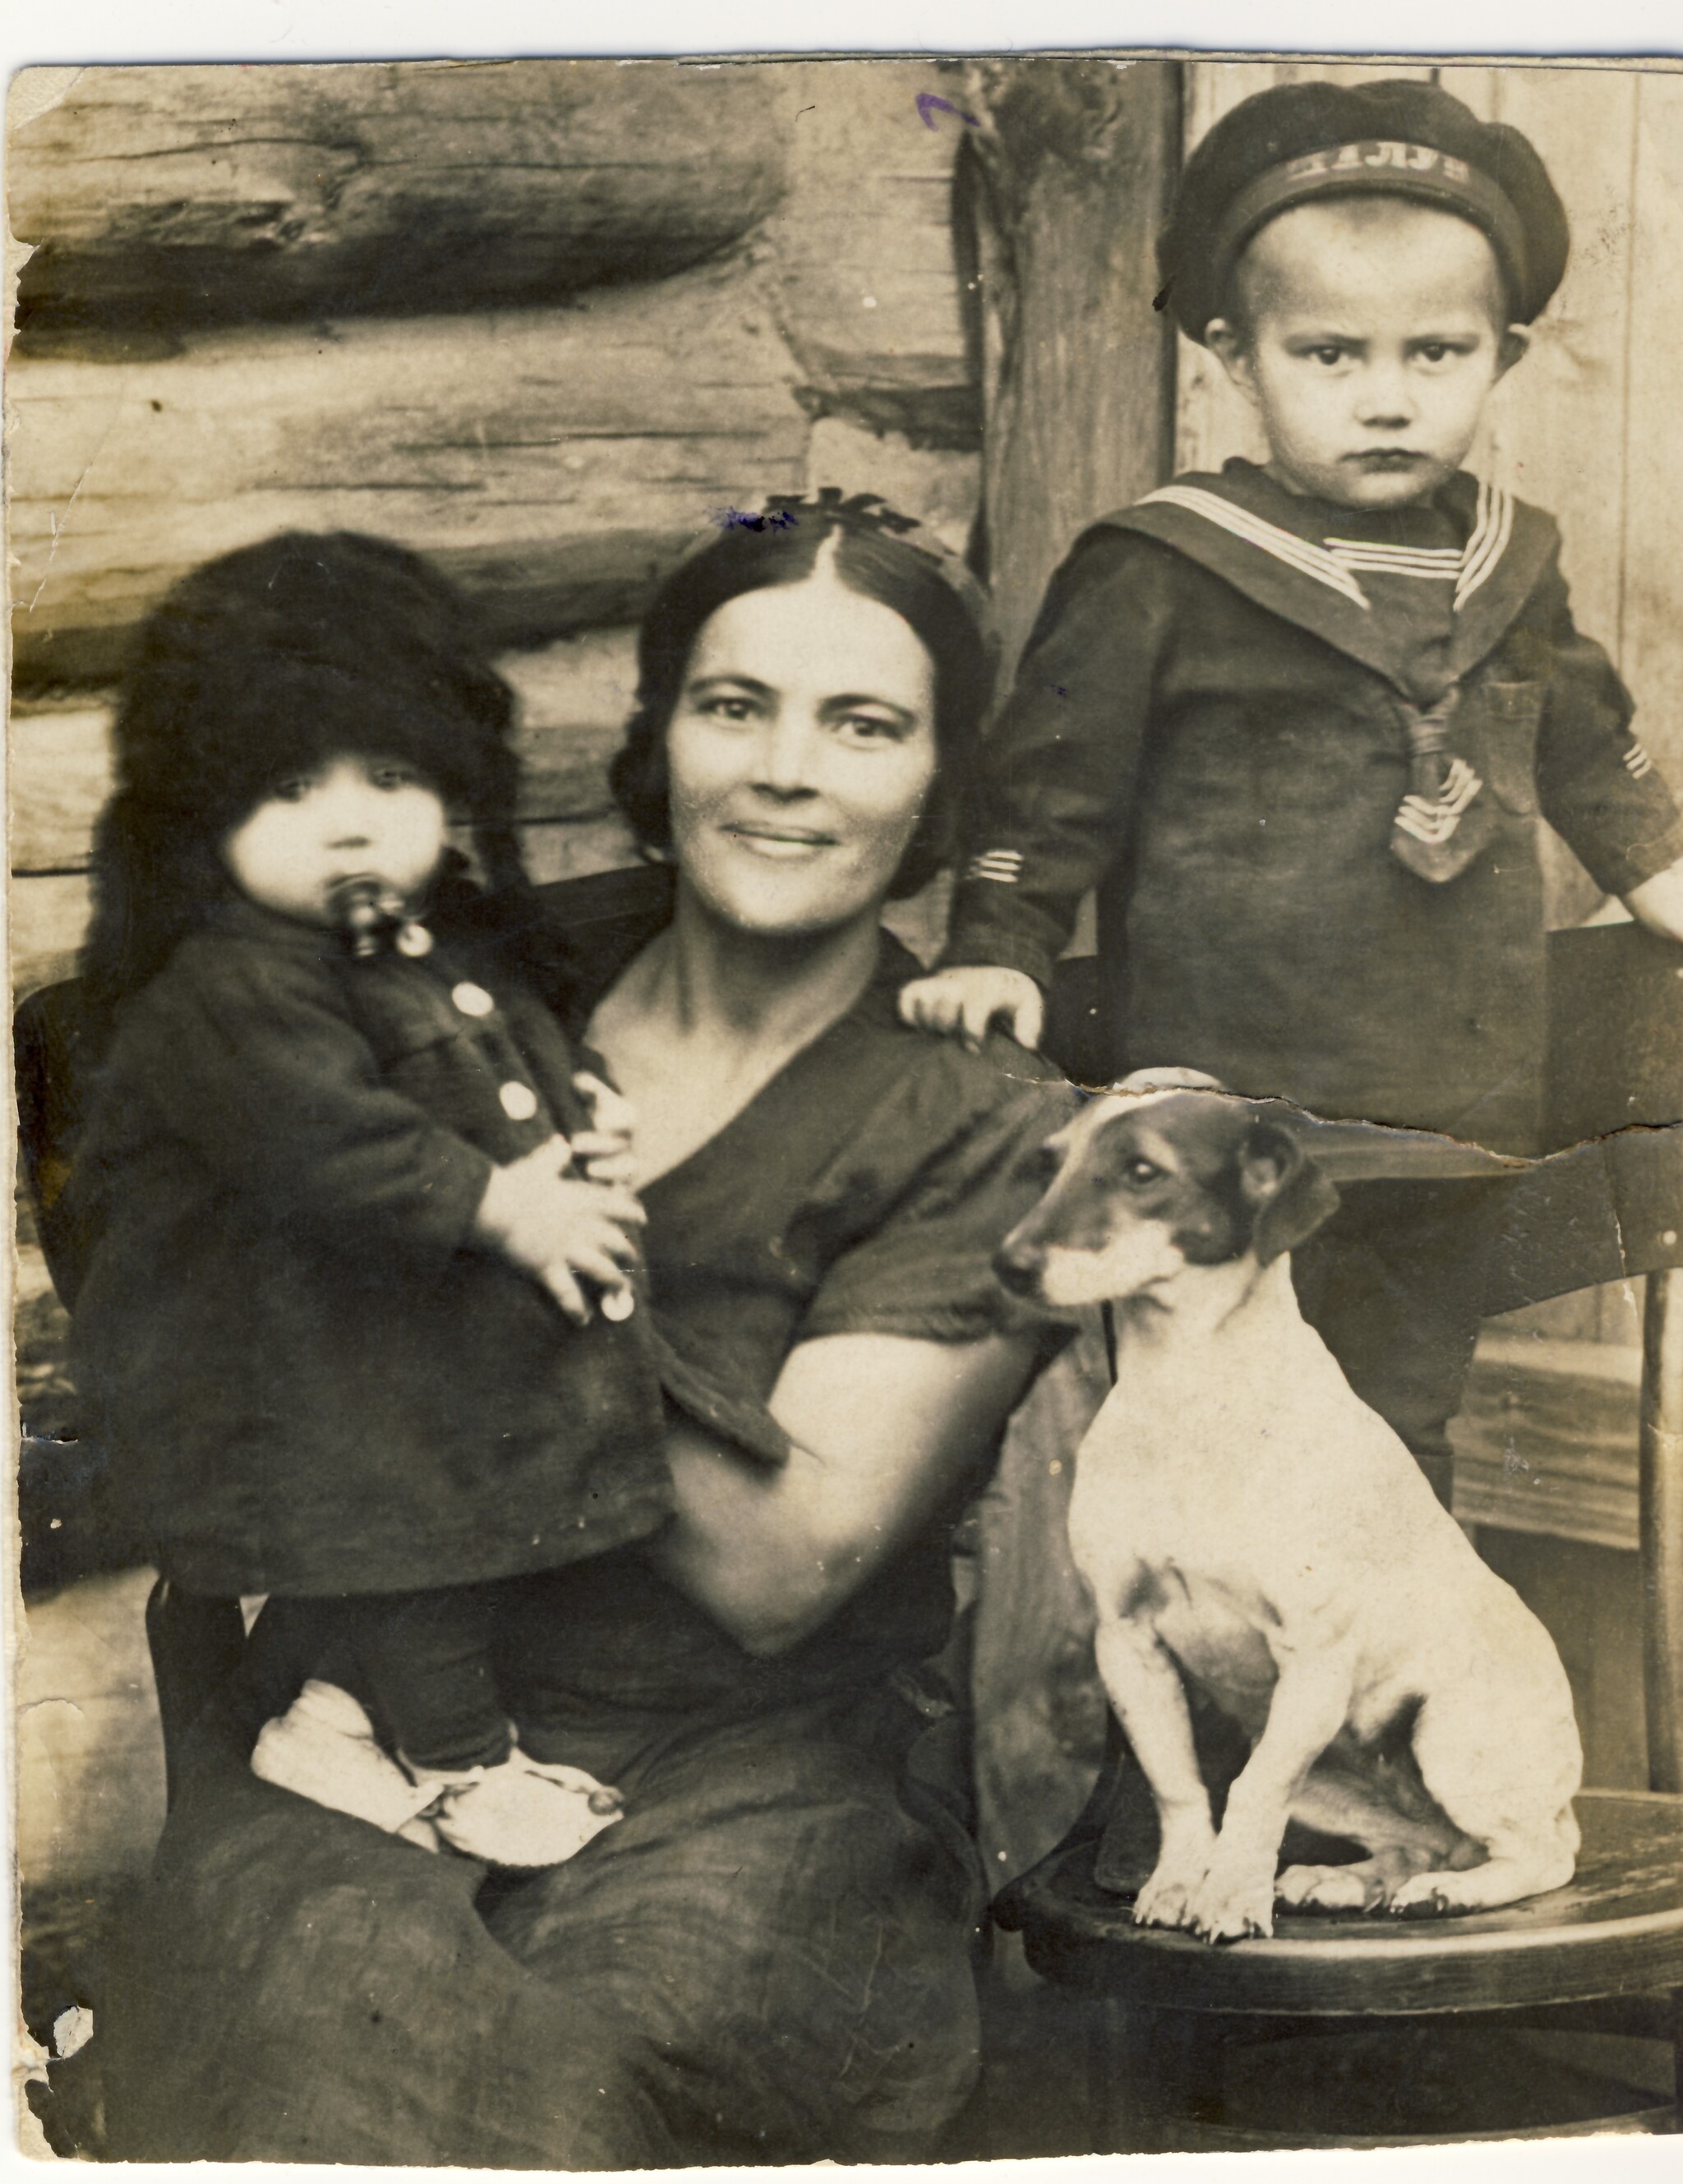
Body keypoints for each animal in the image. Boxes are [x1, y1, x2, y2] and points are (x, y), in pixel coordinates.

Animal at [995, 1074, 1588, 1947]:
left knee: (1541, 1855)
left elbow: (1250, 1794)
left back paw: (1450, 1895)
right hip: (1331, 1775)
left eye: (1142, 1171)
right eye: (1048, 1165)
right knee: (1423, 1844)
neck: (1189, 1399)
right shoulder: (1127, 1643)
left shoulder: (1312, 1656)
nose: (1009, 1265)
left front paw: (1230, 1900)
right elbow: (1182, 1789)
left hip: (1447, 1739)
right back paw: (1342, 1882)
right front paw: (1182, 1885)